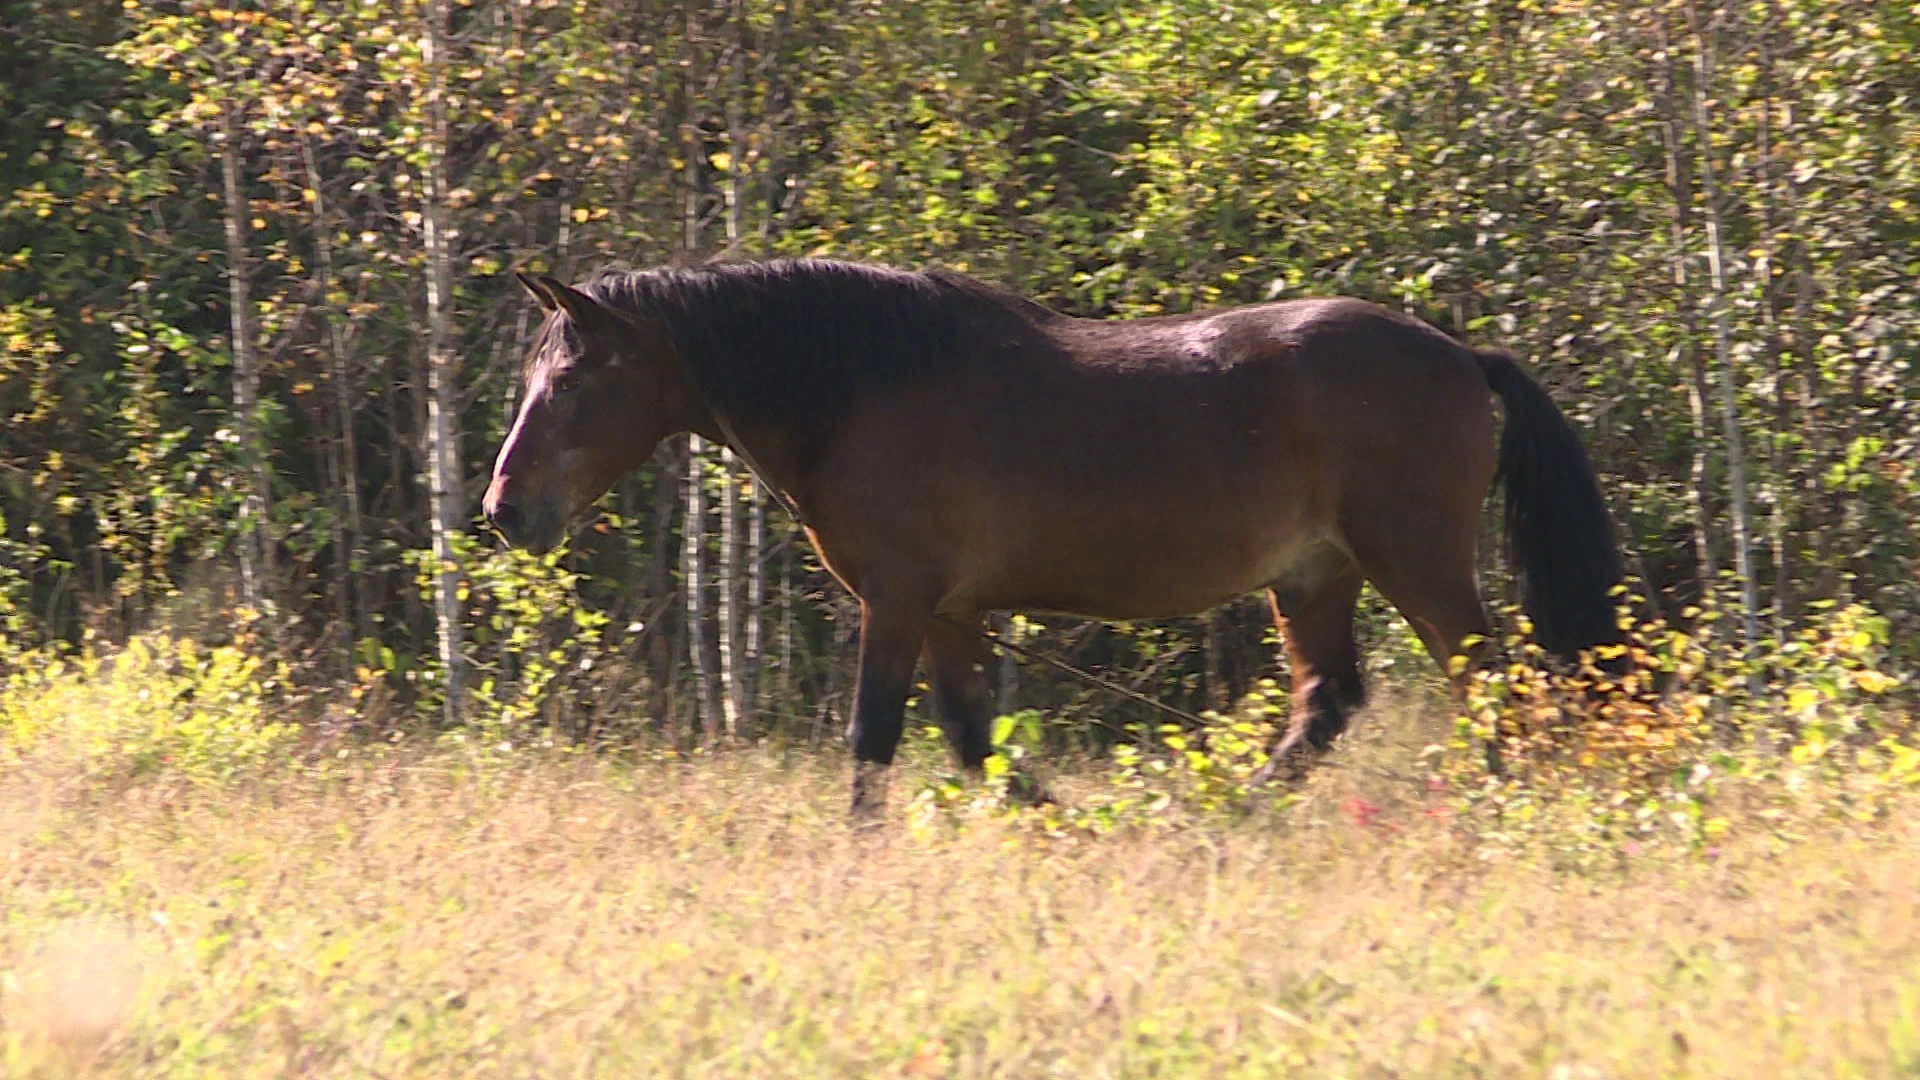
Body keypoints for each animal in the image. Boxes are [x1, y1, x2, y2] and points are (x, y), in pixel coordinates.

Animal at [480, 261, 1620, 810]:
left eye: (569, 380)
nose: (503, 509)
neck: (864, 391)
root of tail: (1462, 354)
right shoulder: (948, 610)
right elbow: (973, 738)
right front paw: (1055, 817)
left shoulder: (897, 599)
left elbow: (875, 738)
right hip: (1314, 575)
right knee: (1329, 700)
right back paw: (1229, 816)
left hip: (1413, 563)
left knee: (1494, 686)